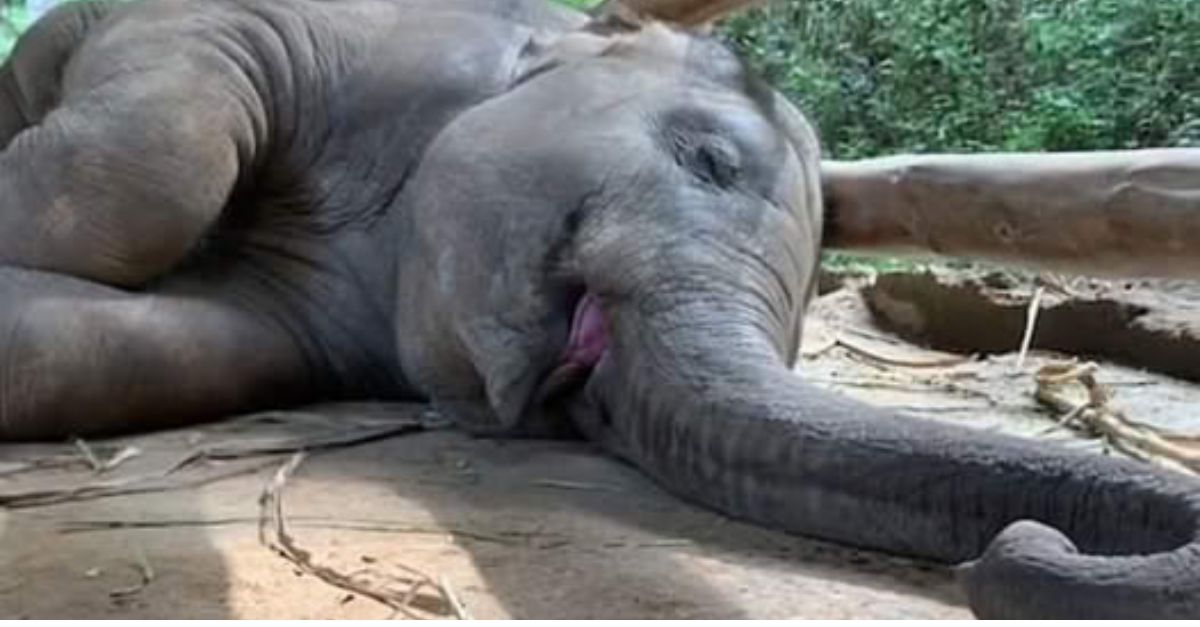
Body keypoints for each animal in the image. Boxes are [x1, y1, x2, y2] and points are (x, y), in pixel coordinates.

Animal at [0, 0, 1195, 614]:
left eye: (594, 401)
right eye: (710, 160)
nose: (1012, 547)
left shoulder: (317, 314)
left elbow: (106, 351)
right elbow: (156, 159)